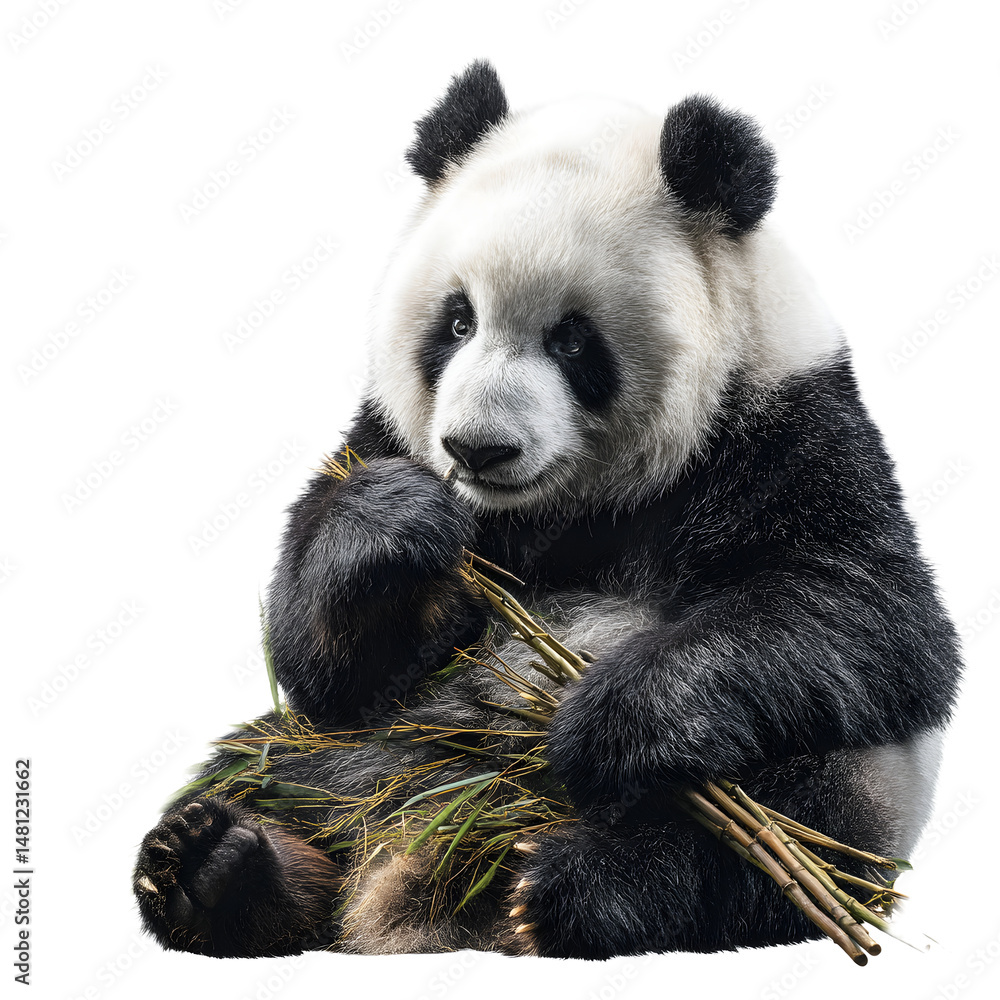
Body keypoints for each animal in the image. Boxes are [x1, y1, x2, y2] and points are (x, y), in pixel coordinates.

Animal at [133, 62, 961, 960]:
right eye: (458, 320)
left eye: (571, 339)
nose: (477, 449)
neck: (565, 504)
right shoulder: (387, 437)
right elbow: (325, 664)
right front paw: (394, 524)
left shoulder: (784, 424)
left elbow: (870, 613)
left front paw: (608, 723)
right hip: (363, 753)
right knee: (272, 763)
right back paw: (223, 866)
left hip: (850, 785)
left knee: (789, 818)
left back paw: (577, 883)